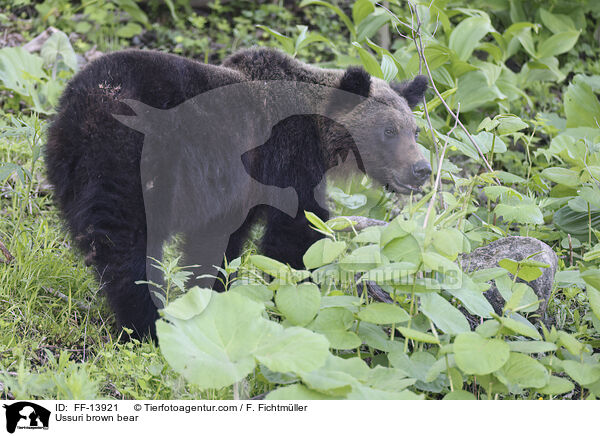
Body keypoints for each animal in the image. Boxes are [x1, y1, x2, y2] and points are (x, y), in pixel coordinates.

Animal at [44, 48, 428, 340]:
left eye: (415, 130)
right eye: (389, 130)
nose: (421, 169)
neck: (322, 136)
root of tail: (84, 101)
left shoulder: (235, 192)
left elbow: (218, 243)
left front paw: (212, 296)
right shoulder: (285, 157)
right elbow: (295, 233)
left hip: (72, 163)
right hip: (132, 158)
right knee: (124, 243)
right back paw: (147, 321)